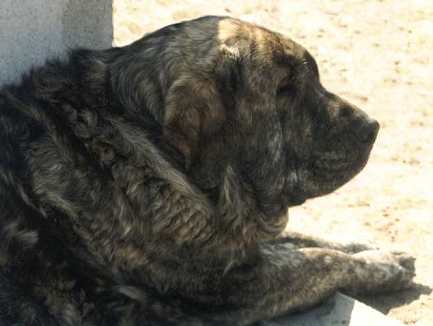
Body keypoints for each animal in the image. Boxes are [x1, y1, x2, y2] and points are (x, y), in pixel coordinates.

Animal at [0, 15, 412, 326]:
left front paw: (374, 249)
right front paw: (382, 267)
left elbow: (305, 239)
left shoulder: (230, 238)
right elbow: (317, 261)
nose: (372, 127)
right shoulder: (236, 289)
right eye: (284, 89)